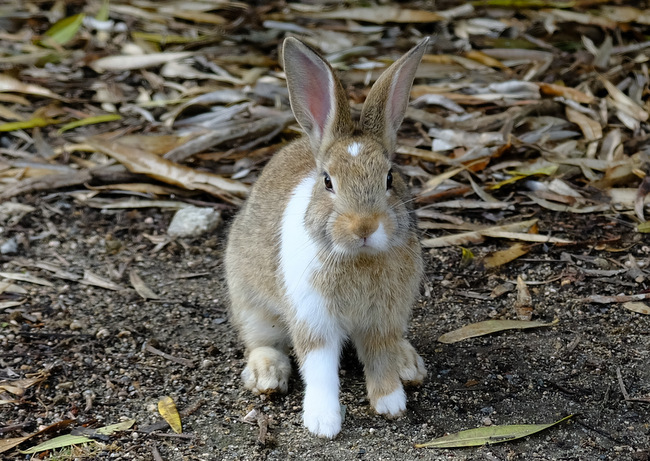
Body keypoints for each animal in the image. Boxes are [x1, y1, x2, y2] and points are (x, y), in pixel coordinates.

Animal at [225, 36, 428, 438]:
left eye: (390, 178)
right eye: (328, 182)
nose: (364, 226)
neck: (359, 258)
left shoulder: (384, 319)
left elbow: (380, 357)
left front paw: (390, 404)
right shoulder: (313, 318)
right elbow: (319, 368)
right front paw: (323, 423)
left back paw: (408, 364)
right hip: (250, 302)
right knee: (260, 341)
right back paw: (266, 375)